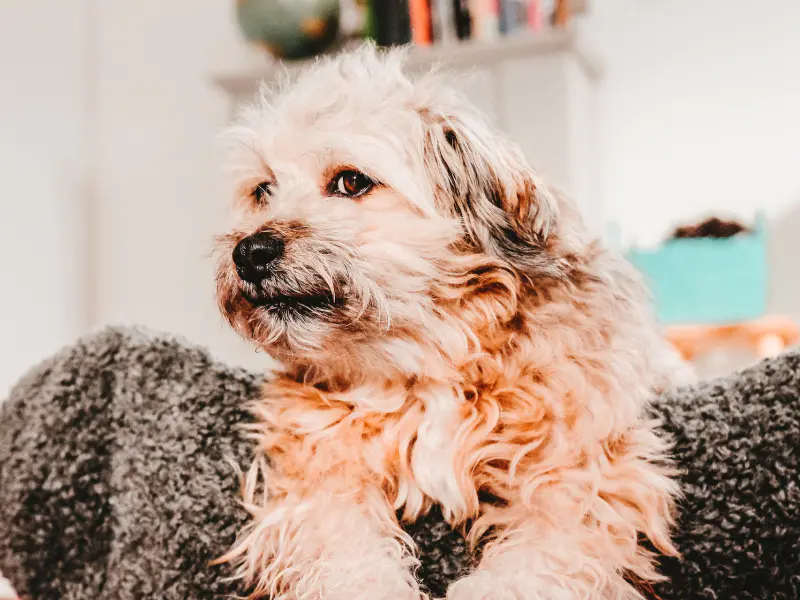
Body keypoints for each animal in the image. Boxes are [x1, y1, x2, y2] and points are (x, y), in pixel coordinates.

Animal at [214, 44, 688, 596]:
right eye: (262, 190)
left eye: (351, 181)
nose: (250, 252)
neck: (427, 360)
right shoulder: (321, 475)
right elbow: (344, 552)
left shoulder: (581, 479)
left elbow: (534, 563)